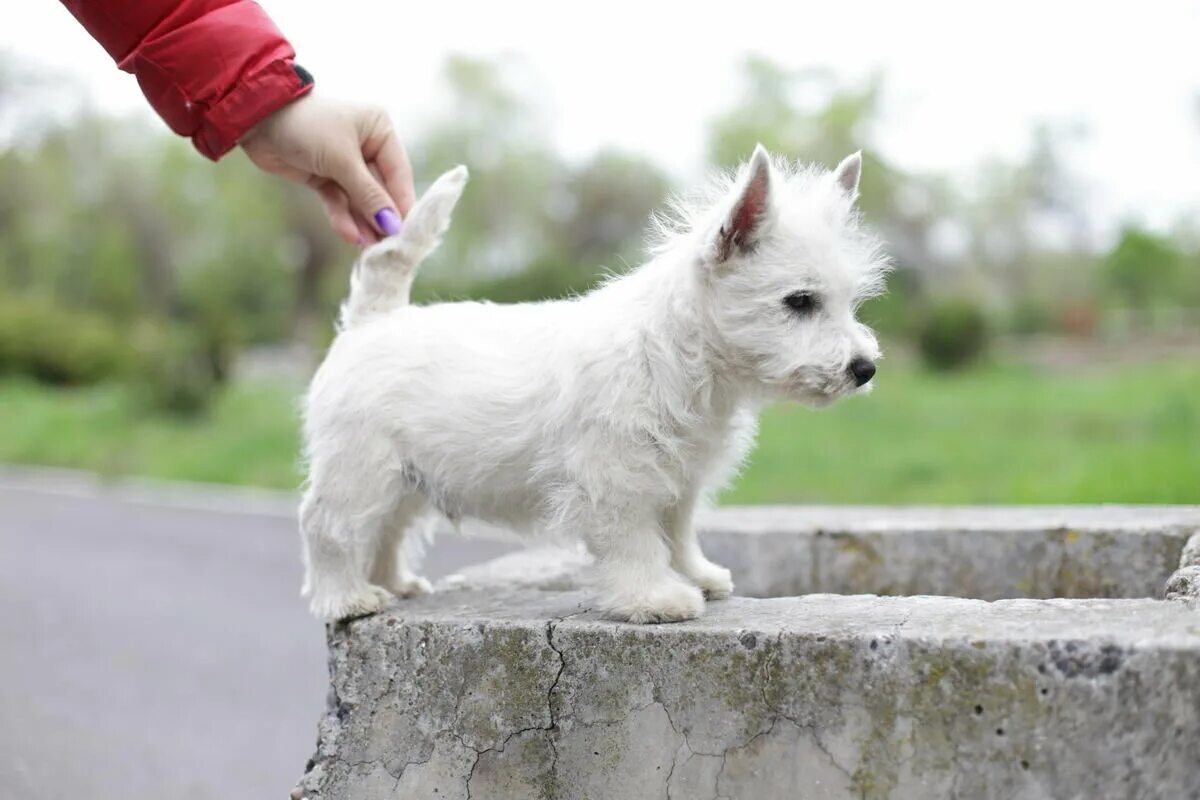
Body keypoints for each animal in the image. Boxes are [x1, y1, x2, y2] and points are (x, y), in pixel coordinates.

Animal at [300, 148, 888, 623]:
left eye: (849, 302)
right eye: (800, 301)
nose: (865, 368)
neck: (680, 356)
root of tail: (374, 321)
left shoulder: (681, 480)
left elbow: (678, 533)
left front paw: (696, 576)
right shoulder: (616, 481)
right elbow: (636, 544)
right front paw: (655, 598)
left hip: (405, 479)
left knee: (386, 530)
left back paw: (395, 584)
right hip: (361, 469)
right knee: (328, 527)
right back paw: (347, 598)